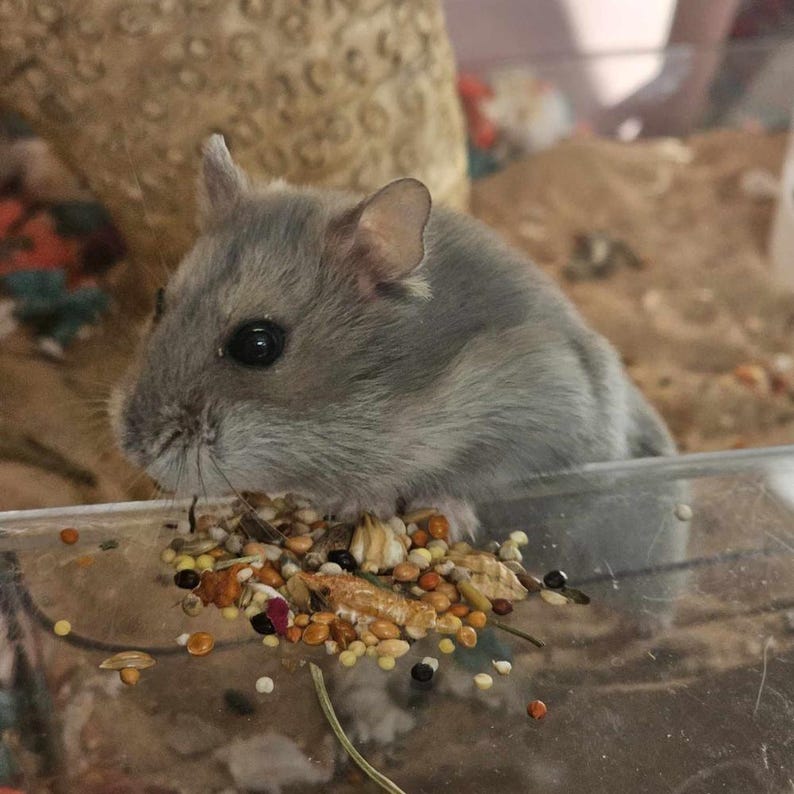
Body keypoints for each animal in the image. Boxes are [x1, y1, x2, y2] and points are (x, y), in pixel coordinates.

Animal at [112, 135, 675, 537]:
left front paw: (379, 503)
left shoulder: (542, 412)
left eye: (257, 344)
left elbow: (472, 477)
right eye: (159, 300)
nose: (135, 452)